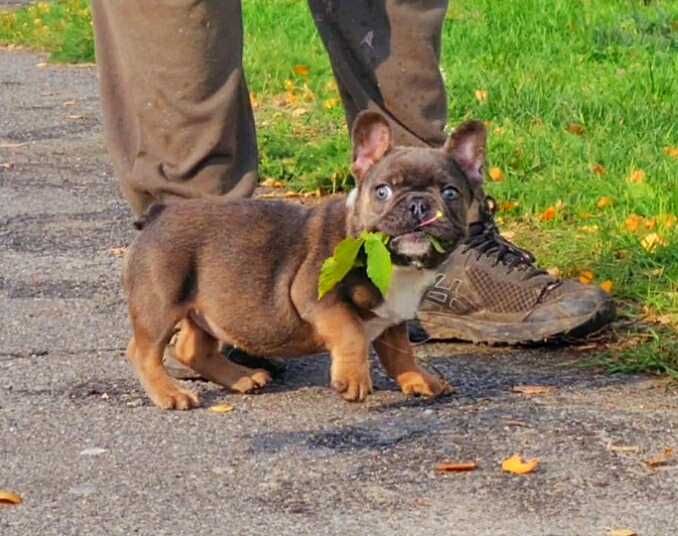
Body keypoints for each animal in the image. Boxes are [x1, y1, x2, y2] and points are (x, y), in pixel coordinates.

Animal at [125, 111, 486, 408]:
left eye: (451, 193)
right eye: (383, 191)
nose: (418, 204)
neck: (396, 267)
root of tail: (159, 212)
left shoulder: (393, 317)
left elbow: (401, 354)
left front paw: (419, 380)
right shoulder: (315, 295)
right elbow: (352, 332)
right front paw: (353, 378)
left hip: (206, 305)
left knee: (191, 349)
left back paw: (241, 378)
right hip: (162, 300)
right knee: (144, 352)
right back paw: (171, 394)